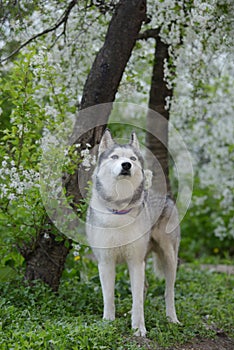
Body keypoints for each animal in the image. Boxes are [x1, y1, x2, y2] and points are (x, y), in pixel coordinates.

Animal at [87, 131, 180, 336]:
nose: (126, 165)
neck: (119, 210)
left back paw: (172, 319)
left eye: (132, 158)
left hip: (169, 259)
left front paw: (138, 329)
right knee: (145, 288)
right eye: (115, 157)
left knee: (169, 292)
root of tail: (166, 196)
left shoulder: (135, 262)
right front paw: (108, 323)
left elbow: (137, 300)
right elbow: (109, 297)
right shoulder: (106, 262)